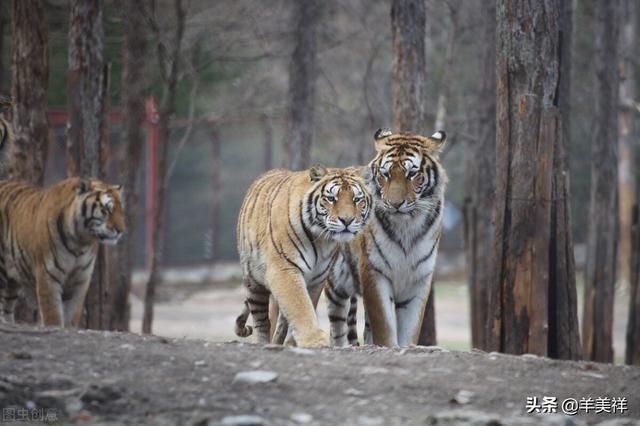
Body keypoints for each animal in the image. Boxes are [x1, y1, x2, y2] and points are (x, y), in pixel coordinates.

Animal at [0, 176, 124, 326]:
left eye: (121, 211)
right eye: (107, 210)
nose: (121, 231)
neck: (80, 242)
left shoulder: (80, 280)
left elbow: (72, 316)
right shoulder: (48, 276)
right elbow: (52, 316)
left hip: (11, 283)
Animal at [235, 165, 372, 348]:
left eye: (357, 199)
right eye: (331, 198)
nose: (347, 220)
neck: (322, 239)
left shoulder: (317, 278)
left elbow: (305, 305)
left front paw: (293, 343)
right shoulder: (284, 269)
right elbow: (300, 306)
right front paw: (314, 341)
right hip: (253, 281)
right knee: (261, 320)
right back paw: (263, 342)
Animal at [328, 129, 448, 346]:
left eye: (411, 174)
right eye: (386, 174)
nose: (395, 204)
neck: (407, 226)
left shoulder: (419, 278)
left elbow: (410, 329)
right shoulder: (374, 272)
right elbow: (384, 325)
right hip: (334, 283)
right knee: (336, 325)